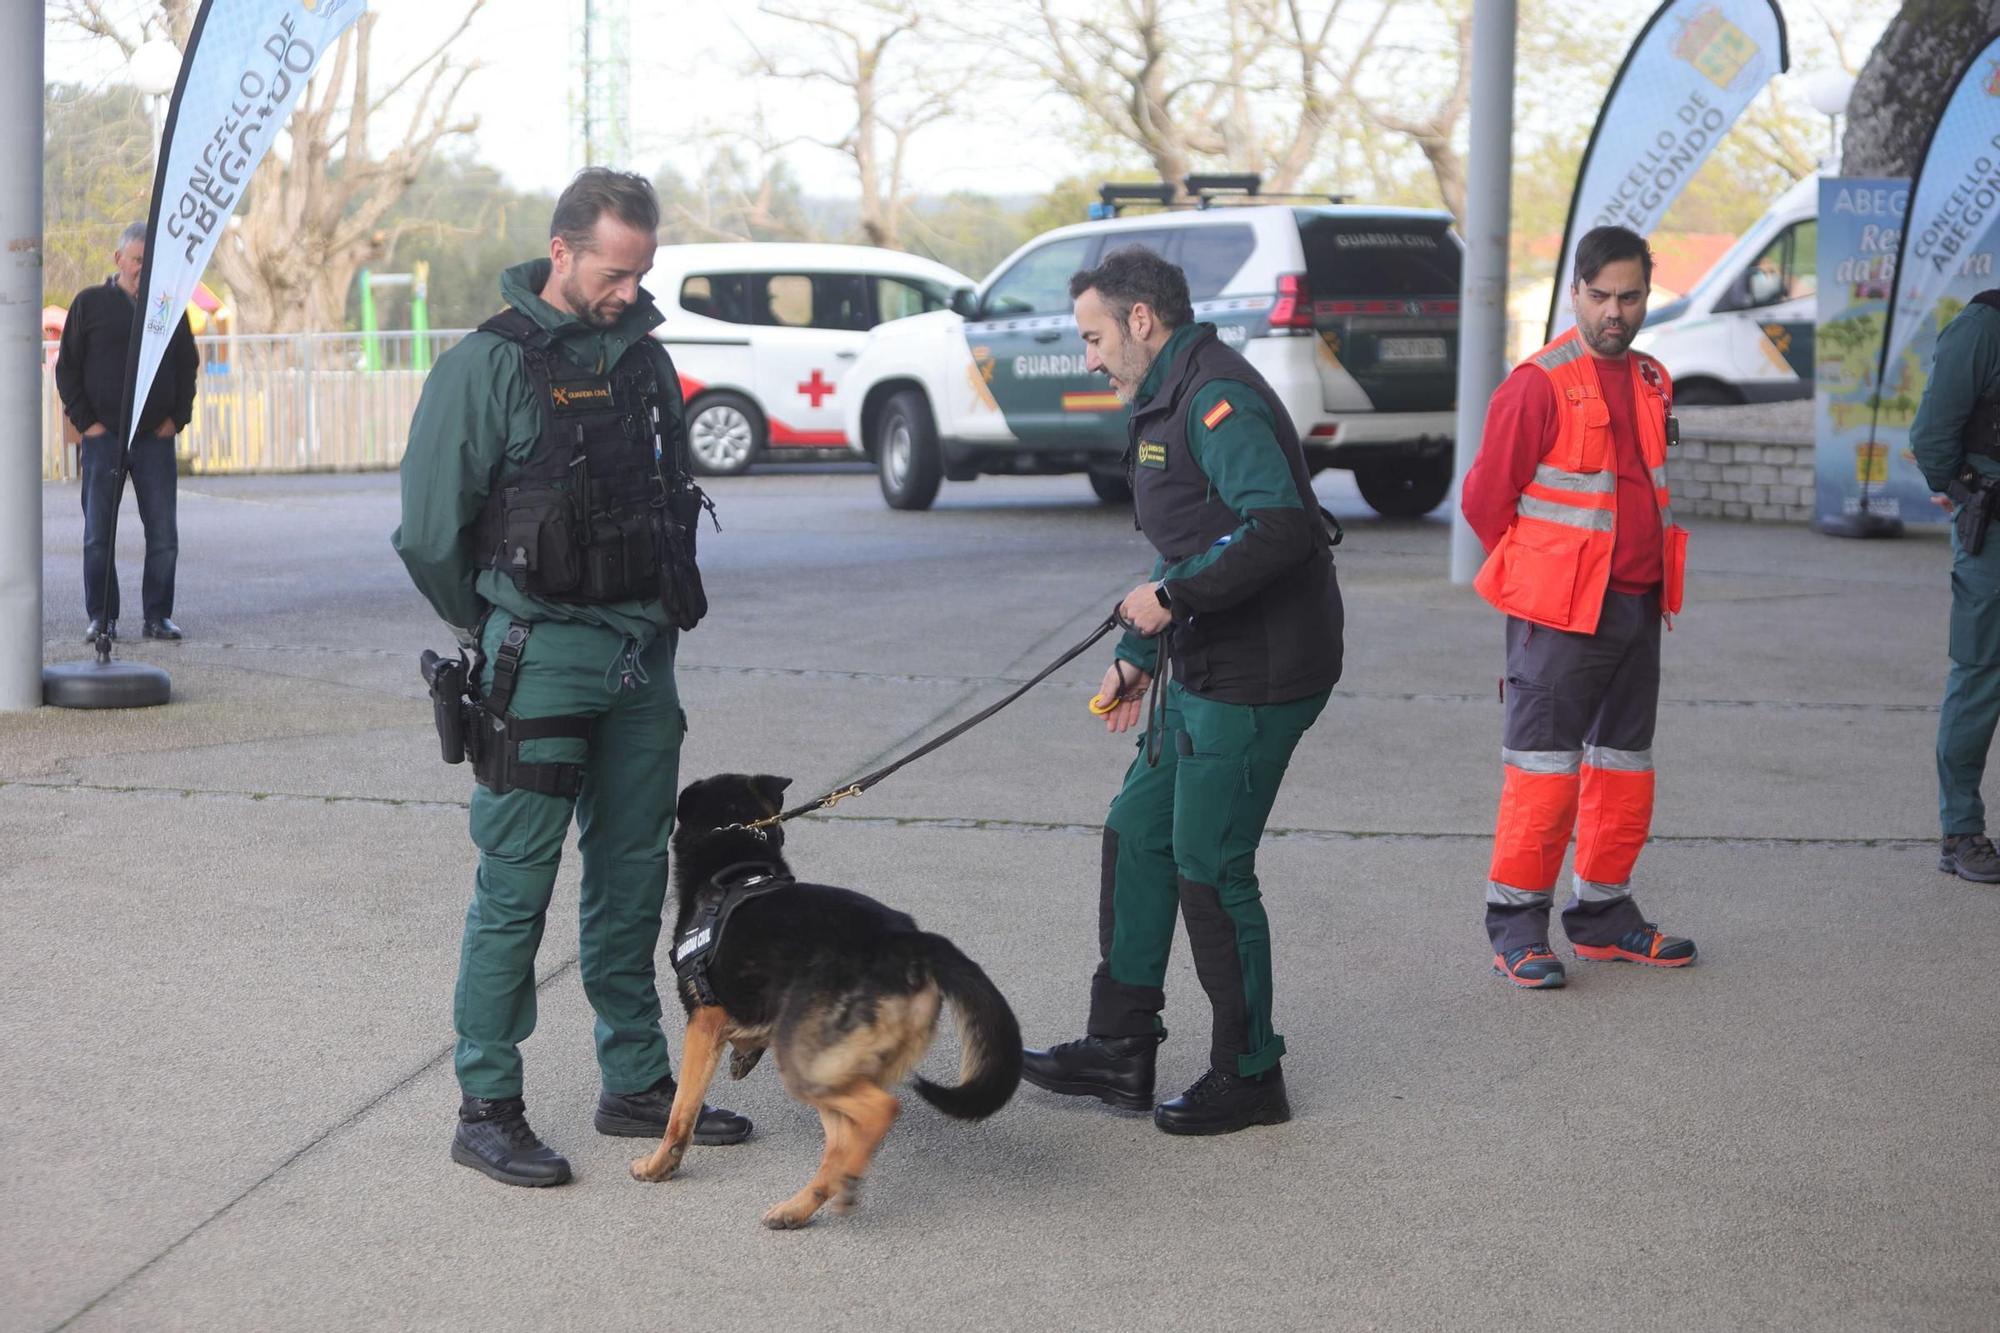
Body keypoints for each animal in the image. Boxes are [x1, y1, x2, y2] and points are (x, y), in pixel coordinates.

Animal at [632, 780, 1024, 1224]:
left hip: (805, 1064)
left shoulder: (702, 1023)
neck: (737, 863)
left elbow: (681, 1111)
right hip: (831, 1064)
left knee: (879, 1109)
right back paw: (807, 1203)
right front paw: (744, 1055)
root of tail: (907, 939)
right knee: (842, 1139)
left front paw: (660, 1166)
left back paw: (834, 1184)